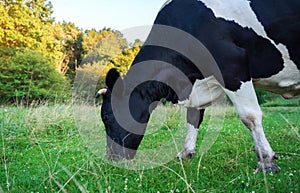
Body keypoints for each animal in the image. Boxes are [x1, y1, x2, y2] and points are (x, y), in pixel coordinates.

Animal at [94, 0, 300, 172]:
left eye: (107, 116)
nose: (112, 158)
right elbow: (194, 117)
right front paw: (186, 153)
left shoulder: (232, 65)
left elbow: (249, 116)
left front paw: (266, 161)